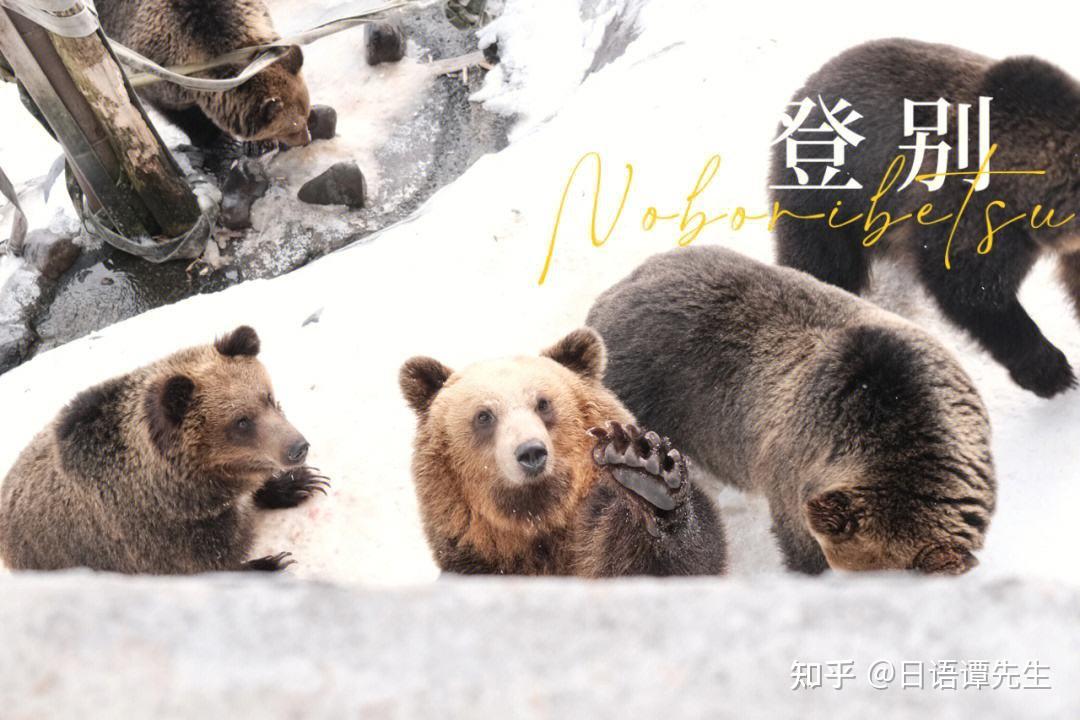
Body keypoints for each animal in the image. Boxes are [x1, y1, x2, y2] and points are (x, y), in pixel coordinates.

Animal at [0, 326, 328, 574]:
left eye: (267, 397)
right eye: (241, 421)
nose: (298, 447)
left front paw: (300, 483)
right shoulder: (162, 539)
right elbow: (214, 564)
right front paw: (272, 563)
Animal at [95, 0, 312, 150]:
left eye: (306, 114)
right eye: (293, 127)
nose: (306, 139)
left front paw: (261, 144)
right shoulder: (156, 72)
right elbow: (179, 112)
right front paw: (218, 140)